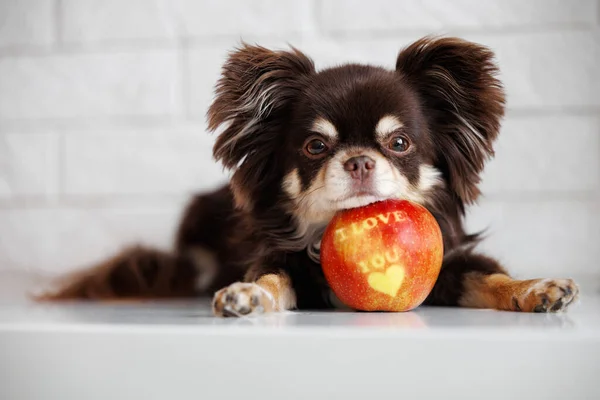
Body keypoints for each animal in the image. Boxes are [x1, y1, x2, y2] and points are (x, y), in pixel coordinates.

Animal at [39, 36, 580, 316]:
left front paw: (536, 288)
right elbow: (271, 279)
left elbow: (491, 276)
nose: (359, 160)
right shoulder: (278, 259)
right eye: (315, 146)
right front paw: (249, 296)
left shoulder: (453, 262)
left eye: (399, 144)